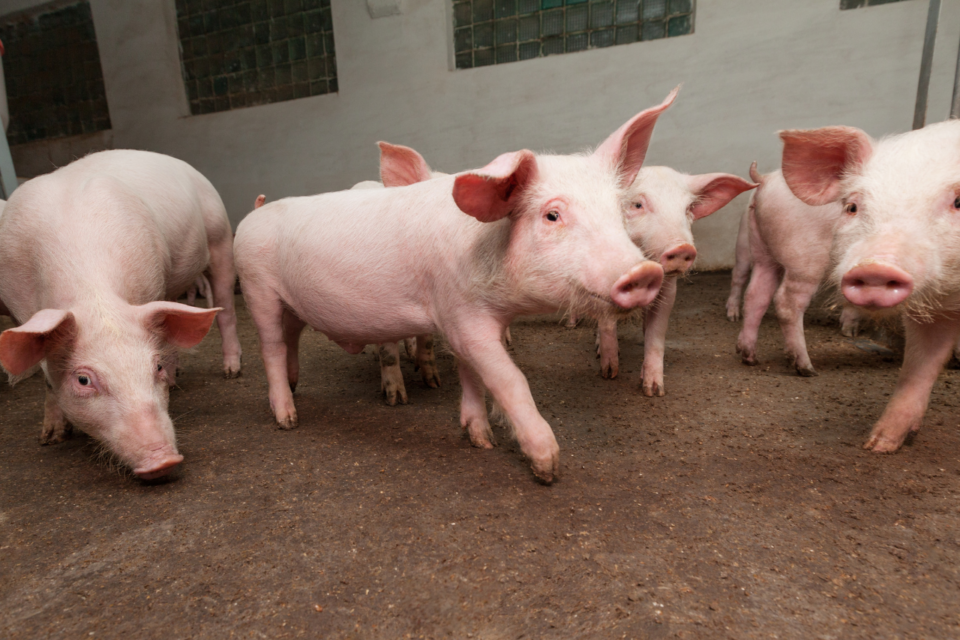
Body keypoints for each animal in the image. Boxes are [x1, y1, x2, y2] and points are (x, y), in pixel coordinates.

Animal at [0, 150, 242, 479]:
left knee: (225, 306)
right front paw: (50, 438)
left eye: (154, 368)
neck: (93, 295)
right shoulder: (18, 309)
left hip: (219, 235)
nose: (164, 460)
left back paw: (230, 371)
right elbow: (46, 377)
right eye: (83, 380)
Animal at [234, 89, 678, 483]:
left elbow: (472, 375)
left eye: (620, 210)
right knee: (271, 347)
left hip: (291, 303)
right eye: (552, 215)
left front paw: (480, 439)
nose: (645, 272)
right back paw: (288, 419)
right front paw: (548, 468)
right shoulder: (461, 315)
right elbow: (509, 379)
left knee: (291, 337)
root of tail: (253, 216)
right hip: (257, 287)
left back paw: (295, 387)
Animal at [595, 166, 756, 393]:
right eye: (637, 204)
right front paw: (609, 372)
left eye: (688, 208)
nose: (682, 247)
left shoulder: (669, 289)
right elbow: (606, 321)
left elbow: (657, 333)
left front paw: (654, 390)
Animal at [780, 121, 960, 452]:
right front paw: (878, 446)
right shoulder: (937, 311)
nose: (875, 267)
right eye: (852, 206)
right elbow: (919, 365)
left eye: (959, 202)